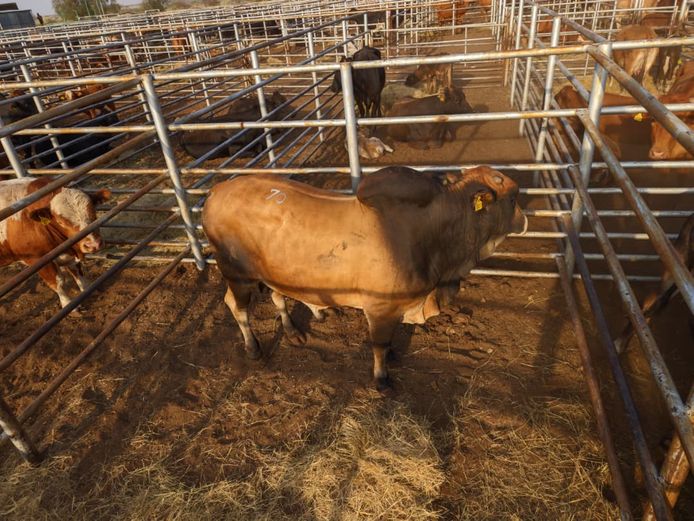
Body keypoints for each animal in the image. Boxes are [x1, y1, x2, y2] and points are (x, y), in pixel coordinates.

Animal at [0, 177, 110, 308]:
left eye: (93, 210)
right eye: (60, 221)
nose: (94, 244)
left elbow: (77, 271)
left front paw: (87, 289)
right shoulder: (36, 260)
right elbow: (57, 282)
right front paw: (68, 304)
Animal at [202, 166, 527, 390]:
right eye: (513, 198)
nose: (525, 220)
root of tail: (218, 189)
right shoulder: (380, 308)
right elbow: (380, 345)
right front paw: (382, 378)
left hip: (272, 271)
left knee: (276, 294)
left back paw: (293, 330)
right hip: (236, 275)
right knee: (236, 306)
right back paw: (253, 347)